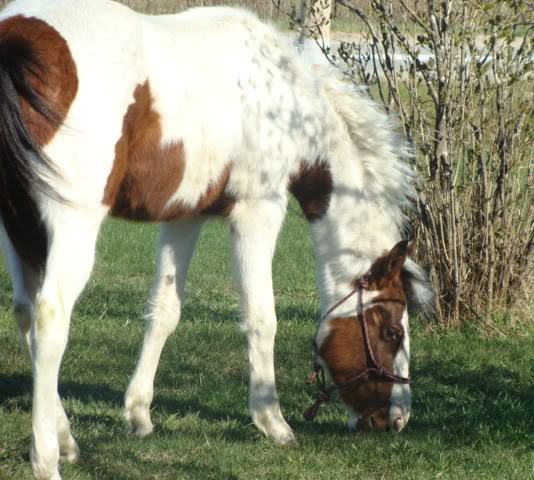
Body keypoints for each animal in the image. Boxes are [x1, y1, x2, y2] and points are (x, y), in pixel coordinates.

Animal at [0, 1, 436, 478]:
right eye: (393, 330)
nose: (397, 419)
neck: (285, 102)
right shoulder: (258, 210)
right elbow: (262, 317)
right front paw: (272, 421)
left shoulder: (184, 216)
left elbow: (165, 312)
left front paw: (138, 414)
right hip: (72, 226)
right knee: (50, 318)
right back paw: (46, 457)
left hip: (21, 228)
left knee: (25, 314)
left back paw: (66, 440)